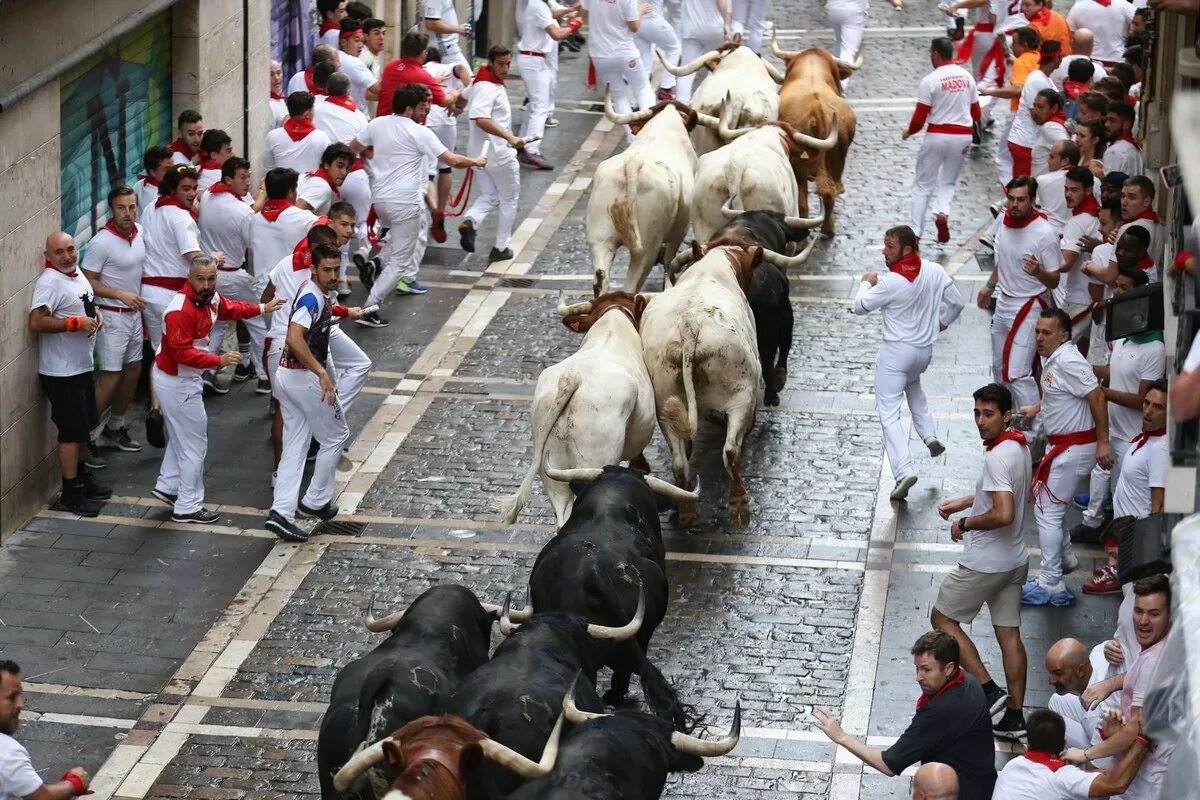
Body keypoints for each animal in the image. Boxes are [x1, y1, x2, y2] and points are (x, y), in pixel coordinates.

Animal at [585, 97, 705, 297]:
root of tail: (633, 163)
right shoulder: (678, 233)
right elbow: (669, 263)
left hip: (599, 239)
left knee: (601, 280)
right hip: (647, 249)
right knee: (632, 286)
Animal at [638, 245, 758, 532]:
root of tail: (689, 325)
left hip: (664, 403)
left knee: (680, 463)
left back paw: (687, 512)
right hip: (741, 396)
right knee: (730, 451)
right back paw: (739, 505)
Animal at [768, 38, 864, 237]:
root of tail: (817, 108)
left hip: (799, 167)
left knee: (805, 201)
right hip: (836, 161)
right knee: (830, 191)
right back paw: (828, 228)